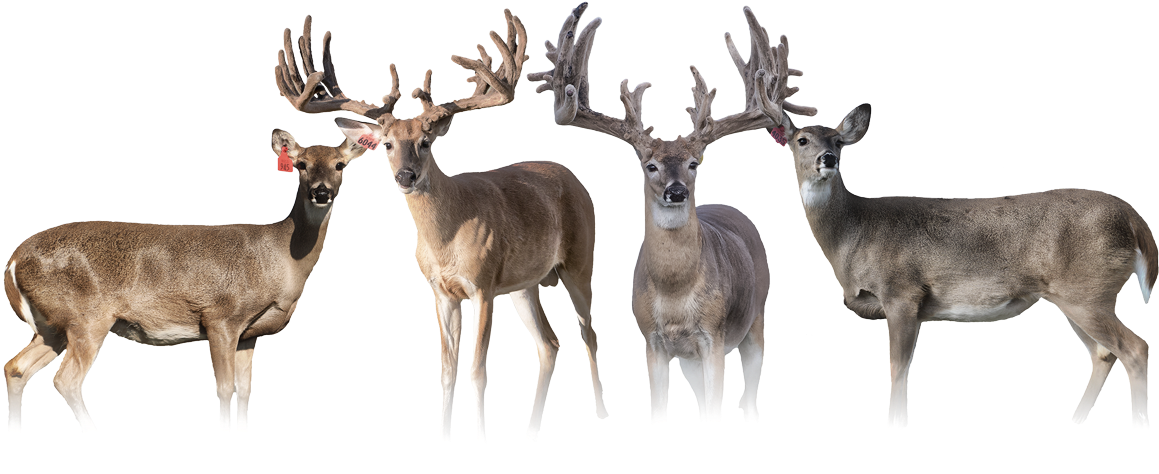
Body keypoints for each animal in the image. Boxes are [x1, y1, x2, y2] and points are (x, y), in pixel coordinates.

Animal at [4, 128, 368, 454]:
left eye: (340, 165)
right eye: (302, 164)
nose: (321, 192)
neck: (280, 260)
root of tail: (14, 260)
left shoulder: (248, 335)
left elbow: (245, 389)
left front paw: (242, 440)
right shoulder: (221, 317)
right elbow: (224, 388)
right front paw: (222, 442)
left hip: (53, 325)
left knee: (16, 368)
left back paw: (14, 442)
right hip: (86, 318)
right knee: (66, 380)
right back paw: (100, 445)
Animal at [272, 10, 607, 464]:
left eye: (426, 142)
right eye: (387, 145)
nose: (406, 176)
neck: (446, 240)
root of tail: (575, 179)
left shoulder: (482, 286)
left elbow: (478, 369)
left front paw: (481, 444)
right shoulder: (442, 291)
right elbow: (448, 370)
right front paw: (444, 448)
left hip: (578, 261)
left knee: (588, 333)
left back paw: (600, 412)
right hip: (526, 284)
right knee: (549, 343)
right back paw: (531, 433)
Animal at [527, 3, 811, 462]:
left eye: (695, 163)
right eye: (650, 165)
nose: (677, 191)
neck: (676, 295)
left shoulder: (713, 338)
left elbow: (716, 413)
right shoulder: (653, 341)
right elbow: (657, 421)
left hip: (755, 323)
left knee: (747, 402)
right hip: (694, 358)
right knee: (710, 404)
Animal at [757, 54, 1158, 474]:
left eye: (837, 141)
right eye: (802, 140)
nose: (828, 159)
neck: (853, 237)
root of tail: (1135, 221)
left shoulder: (903, 293)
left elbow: (897, 369)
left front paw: (892, 433)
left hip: (1089, 291)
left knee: (1135, 349)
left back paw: (1139, 455)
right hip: (1073, 297)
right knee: (1104, 353)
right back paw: (1076, 421)